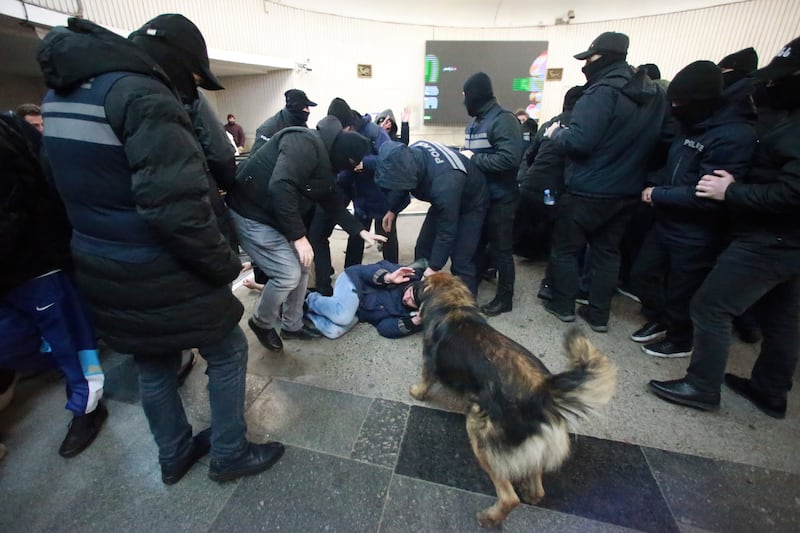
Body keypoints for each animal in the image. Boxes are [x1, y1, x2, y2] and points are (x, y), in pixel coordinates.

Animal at [410, 272, 616, 524]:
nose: (413, 283)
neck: (453, 303)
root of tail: (542, 395)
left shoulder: (429, 363)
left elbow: (424, 381)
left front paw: (416, 392)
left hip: (480, 433)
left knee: (508, 496)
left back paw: (490, 517)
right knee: (538, 486)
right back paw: (530, 493)